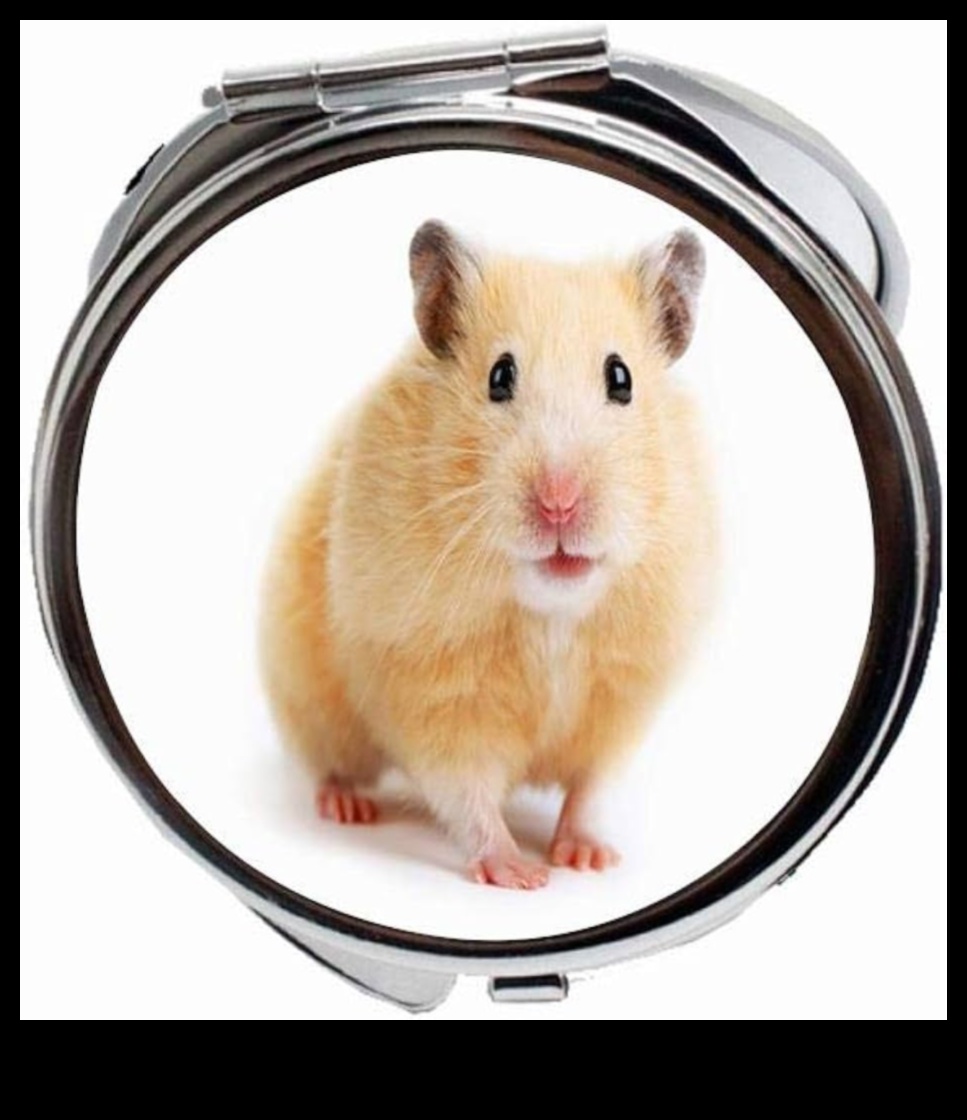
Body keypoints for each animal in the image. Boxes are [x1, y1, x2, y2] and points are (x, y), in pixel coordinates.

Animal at [260, 220, 714, 889]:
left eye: (621, 378)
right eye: (500, 376)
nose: (559, 503)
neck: (551, 613)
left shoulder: (621, 701)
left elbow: (592, 790)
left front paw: (589, 860)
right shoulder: (433, 693)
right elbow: (467, 791)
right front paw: (522, 875)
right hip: (311, 700)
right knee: (331, 763)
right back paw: (347, 807)